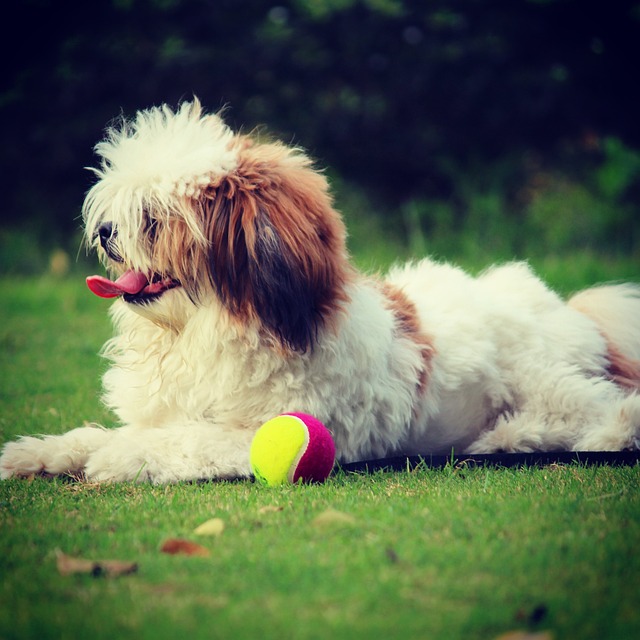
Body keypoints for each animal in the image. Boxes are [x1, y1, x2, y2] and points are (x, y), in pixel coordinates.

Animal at [1, 99, 640, 480]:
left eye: (154, 218)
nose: (106, 233)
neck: (209, 327)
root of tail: (577, 313)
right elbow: (102, 434)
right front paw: (41, 452)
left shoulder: (258, 430)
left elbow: (181, 441)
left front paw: (119, 455)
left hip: (547, 380)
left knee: (611, 411)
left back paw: (540, 438)